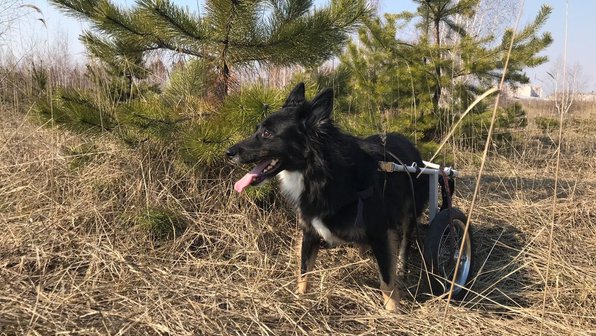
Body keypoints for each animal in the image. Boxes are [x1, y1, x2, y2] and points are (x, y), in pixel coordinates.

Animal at [228, 82, 428, 312]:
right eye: (257, 130)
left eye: (267, 133)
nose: (228, 152)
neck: (320, 174)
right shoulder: (310, 231)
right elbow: (304, 270)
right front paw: (300, 299)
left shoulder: (380, 233)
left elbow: (386, 279)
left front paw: (391, 311)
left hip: (409, 215)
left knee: (405, 242)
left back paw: (402, 268)